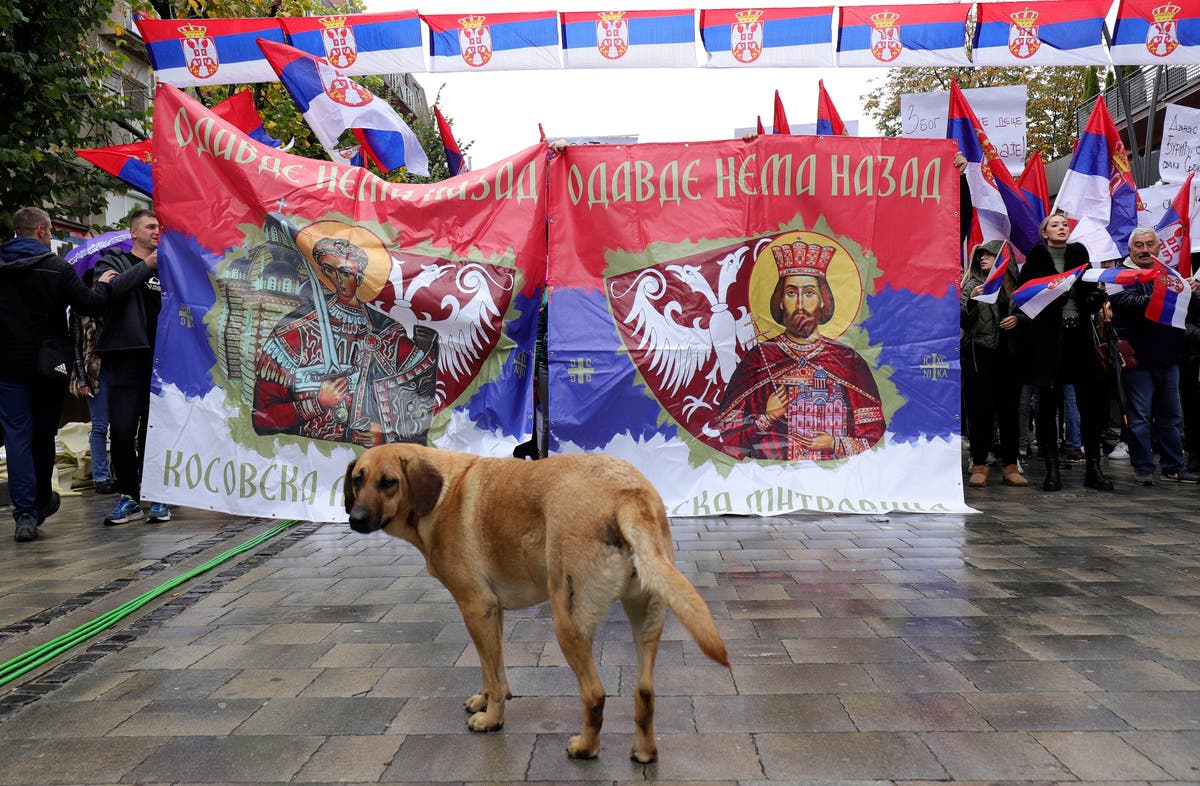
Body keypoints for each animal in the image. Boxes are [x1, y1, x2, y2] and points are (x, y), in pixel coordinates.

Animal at [343, 446, 724, 768]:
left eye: (389, 482)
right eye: (358, 479)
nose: (356, 519)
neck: (442, 494)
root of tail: (629, 495)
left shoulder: (476, 607)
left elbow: (494, 675)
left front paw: (492, 718)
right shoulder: (490, 612)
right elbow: (492, 668)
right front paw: (485, 700)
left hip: (567, 621)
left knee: (595, 695)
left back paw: (585, 747)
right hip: (646, 617)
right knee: (644, 692)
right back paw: (644, 752)